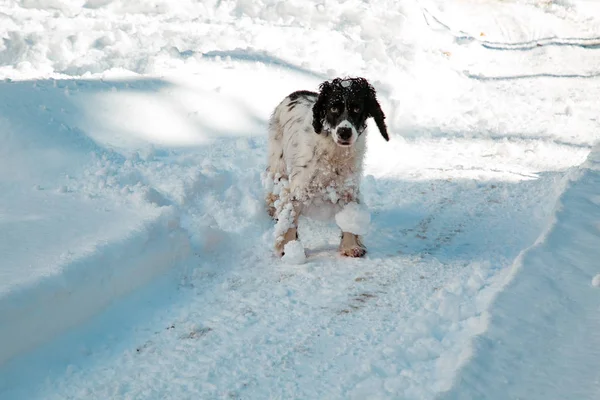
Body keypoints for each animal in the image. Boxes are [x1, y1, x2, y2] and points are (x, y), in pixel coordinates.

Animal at [264, 77, 390, 258]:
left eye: (357, 108)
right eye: (333, 108)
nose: (344, 132)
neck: (333, 154)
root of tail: (296, 93)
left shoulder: (348, 187)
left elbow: (349, 215)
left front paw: (351, 245)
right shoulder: (298, 188)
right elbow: (290, 215)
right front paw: (287, 248)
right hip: (278, 160)